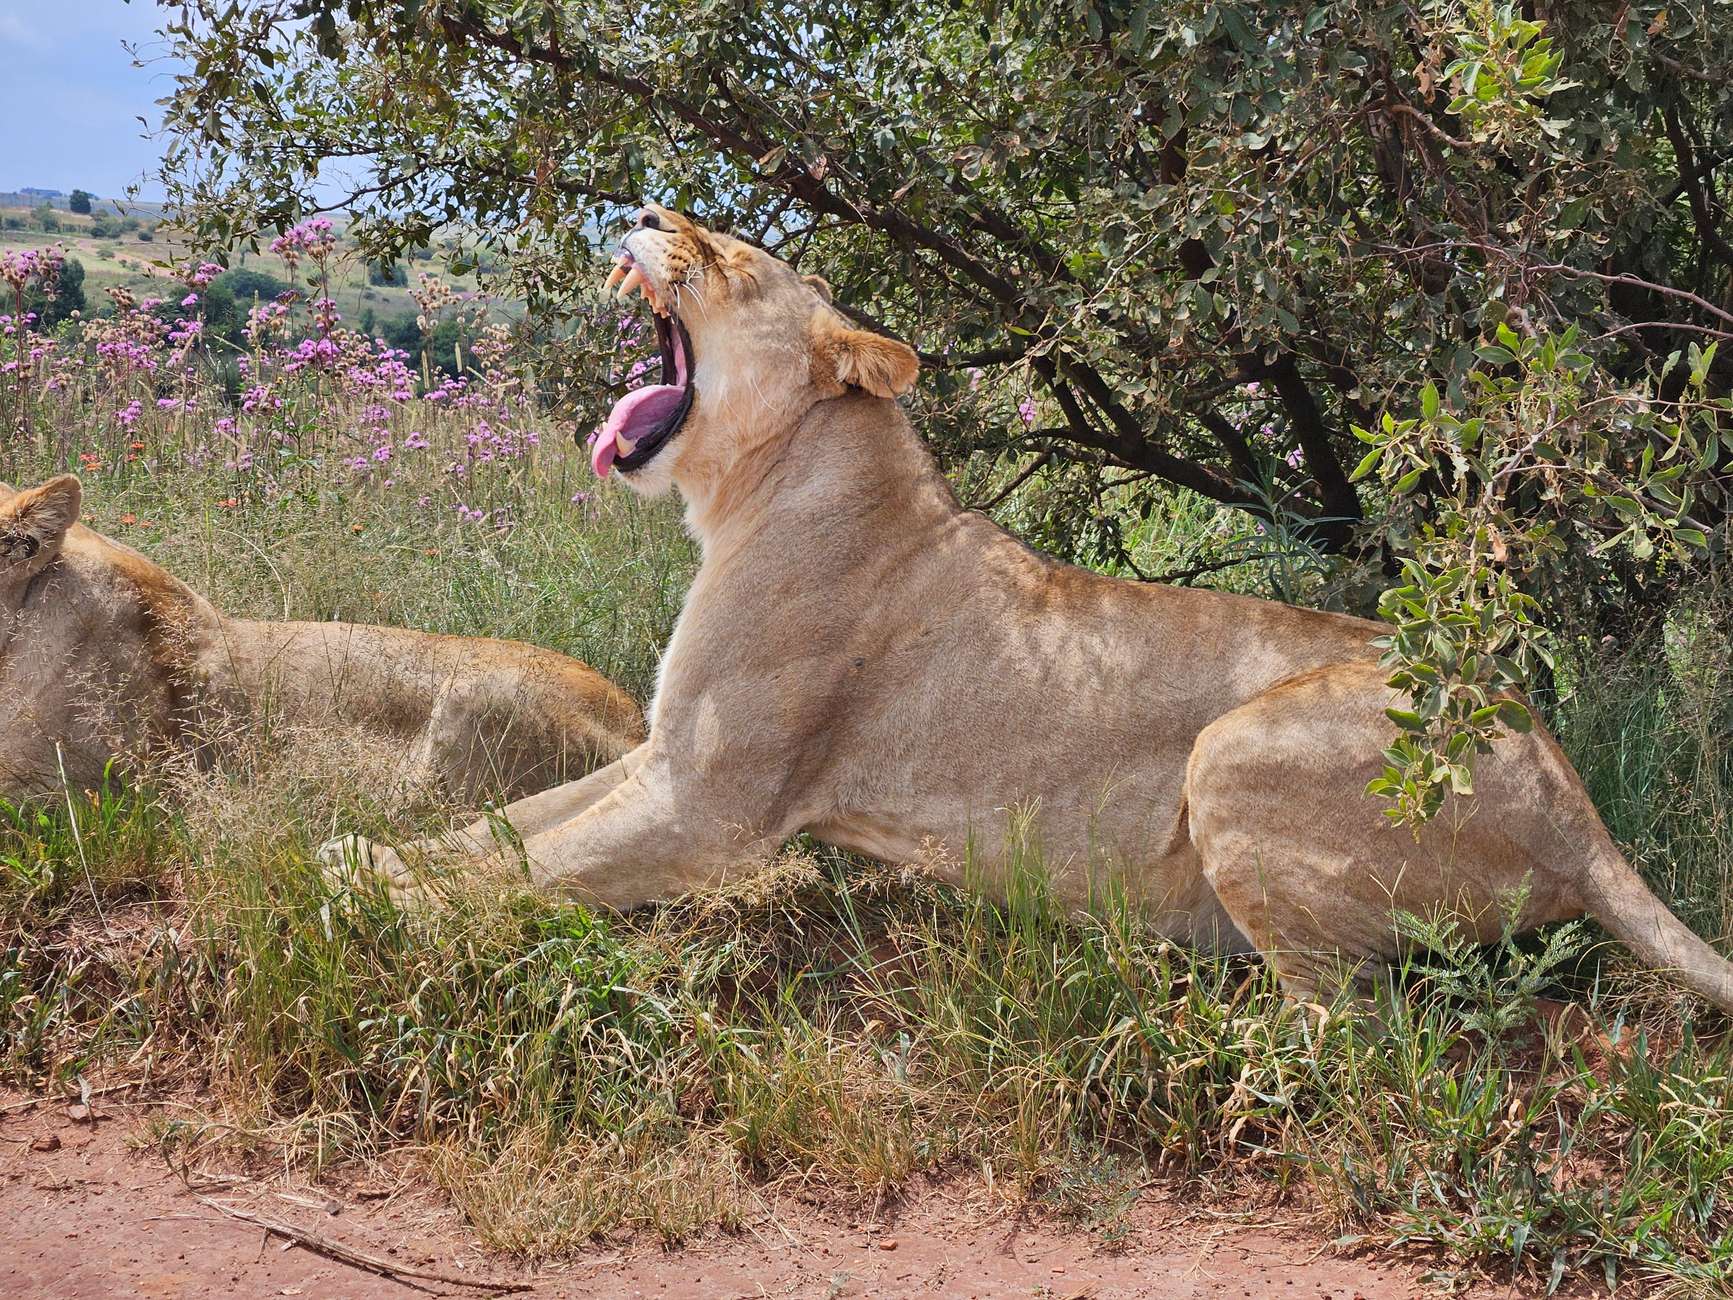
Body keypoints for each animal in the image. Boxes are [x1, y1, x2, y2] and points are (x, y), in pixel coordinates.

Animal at [325, 204, 1733, 1012]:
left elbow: (529, 869)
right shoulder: (665, 758)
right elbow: (502, 828)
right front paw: (353, 858)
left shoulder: (711, 810)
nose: (639, 208)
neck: (757, 490)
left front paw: (361, 910)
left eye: (724, 255)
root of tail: (1567, 788)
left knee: (1350, 1021)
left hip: (1234, 754)